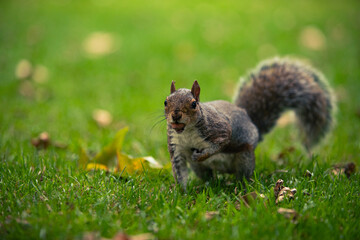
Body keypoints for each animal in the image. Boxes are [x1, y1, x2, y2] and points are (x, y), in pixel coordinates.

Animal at [165, 57, 334, 188]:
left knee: (243, 174)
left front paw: (201, 155)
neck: (187, 131)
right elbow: (179, 170)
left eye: (194, 104)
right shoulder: (175, 145)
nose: (176, 115)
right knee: (207, 176)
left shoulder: (218, 128)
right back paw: (207, 185)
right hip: (200, 169)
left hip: (244, 157)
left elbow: (220, 142)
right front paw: (182, 193)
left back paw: (242, 186)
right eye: (166, 102)